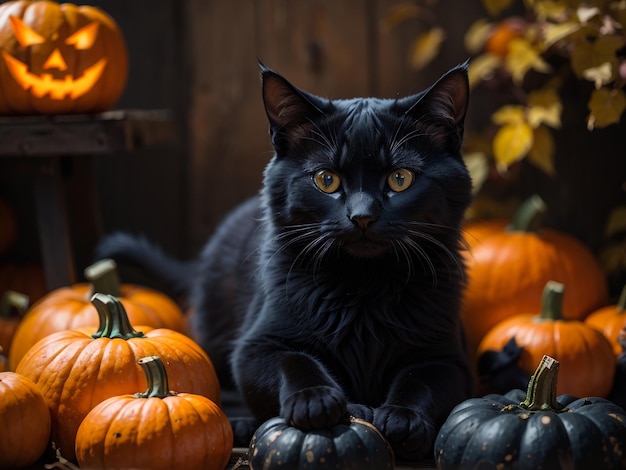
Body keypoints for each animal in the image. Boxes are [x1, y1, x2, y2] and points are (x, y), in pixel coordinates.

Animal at [98, 63, 472, 462]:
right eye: (326, 180)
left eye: (400, 179)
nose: (362, 216)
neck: (363, 287)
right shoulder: (256, 345)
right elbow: (295, 361)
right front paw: (321, 401)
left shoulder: (447, 356)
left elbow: (422, 381)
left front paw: (402, 418)